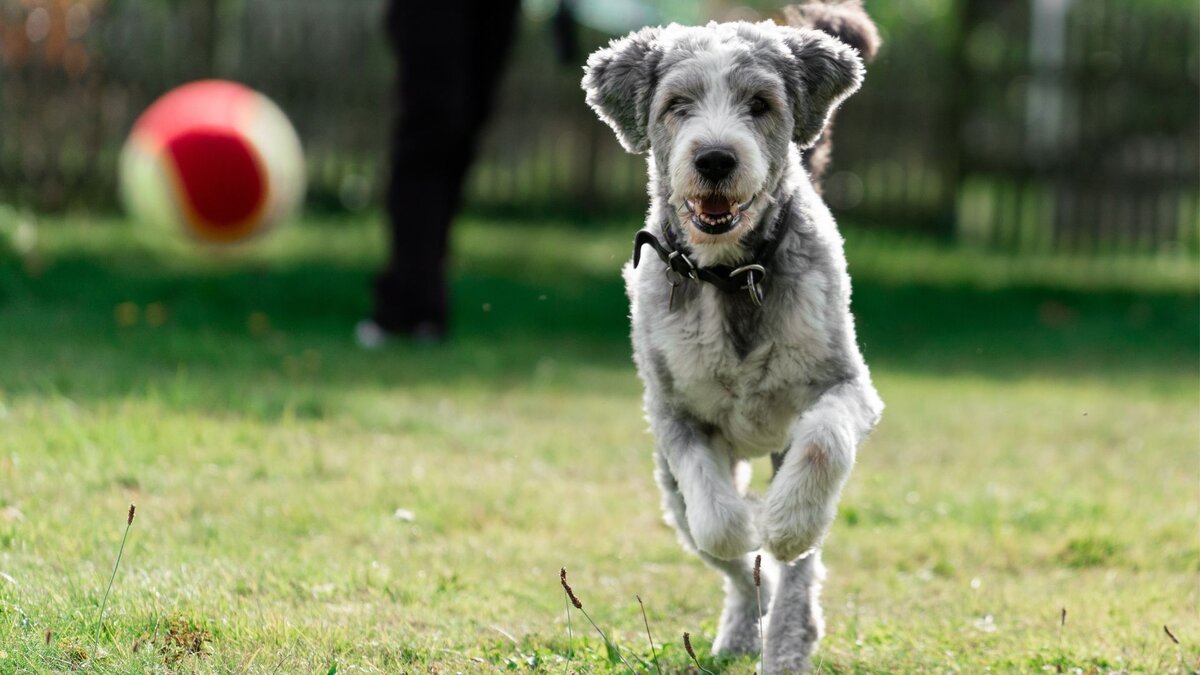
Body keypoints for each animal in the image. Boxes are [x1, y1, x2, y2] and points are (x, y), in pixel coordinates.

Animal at [585, 3, 888, 667]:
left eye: (760, 103)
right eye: (677, 104)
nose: (716, 159)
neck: (730, 276)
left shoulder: (846, 386)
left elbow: (823, 445)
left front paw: (785, 524)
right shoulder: (672, 414)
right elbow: (718, 521)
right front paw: (747, 525)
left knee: (800, 571)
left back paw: (788, 640)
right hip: (668, 490)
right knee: (729, 561)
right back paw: (746, 626)